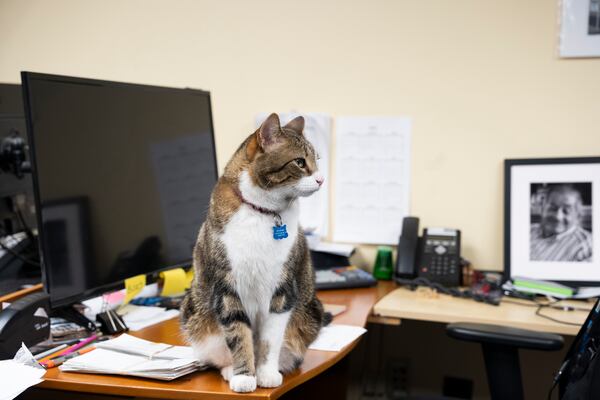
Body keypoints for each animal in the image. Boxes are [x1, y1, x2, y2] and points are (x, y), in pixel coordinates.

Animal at [180, 113, 330, 394]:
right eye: (300, 162)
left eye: (317, 160)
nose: (321, 180)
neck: (263, 213)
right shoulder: (227, 286)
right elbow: (239, 335)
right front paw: (244, 376)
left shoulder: (283, 289)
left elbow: (270, 340)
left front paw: (266, 373)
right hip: (193, 311)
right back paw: (230, 370)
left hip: (311, 311)